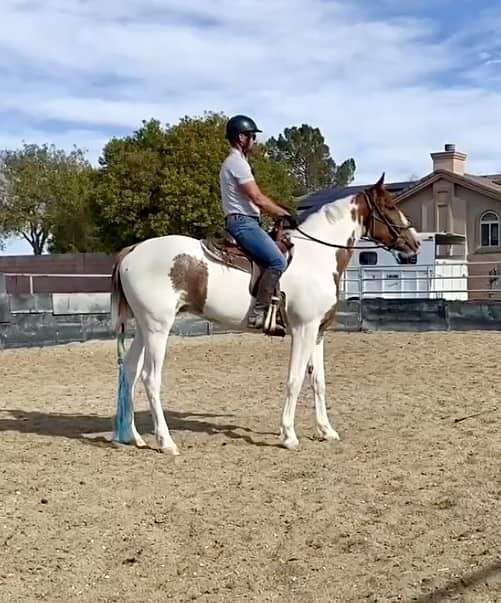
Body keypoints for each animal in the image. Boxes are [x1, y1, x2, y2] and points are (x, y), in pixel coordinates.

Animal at [111, 172, 420, 456]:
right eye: (389, 205)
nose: (415, 242)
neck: (317, 256)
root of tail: (132, 251)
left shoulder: (318, 333)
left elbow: (318, 382)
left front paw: (326, 430)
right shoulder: (304, 329)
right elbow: (295, 380)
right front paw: (288, 435)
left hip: (144, 328)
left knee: (130, 371)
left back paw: (134, 437)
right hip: (158, 329)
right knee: (150, 378)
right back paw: (166, 442)